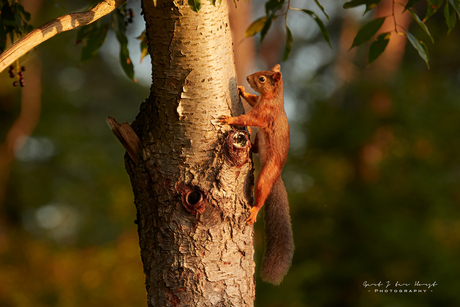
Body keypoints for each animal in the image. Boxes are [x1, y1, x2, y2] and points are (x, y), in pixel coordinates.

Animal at [217, 65, 294, 286]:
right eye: (261, 73)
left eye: (262, 79)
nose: (248, 78)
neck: (271, 98)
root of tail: (277, 177)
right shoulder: (258, 102)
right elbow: (251, 99)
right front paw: (242, 90)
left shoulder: (264, 113)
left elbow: (249, 118)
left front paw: (230, 119)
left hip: (265, 177)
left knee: (261, 194)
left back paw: (254, 211)